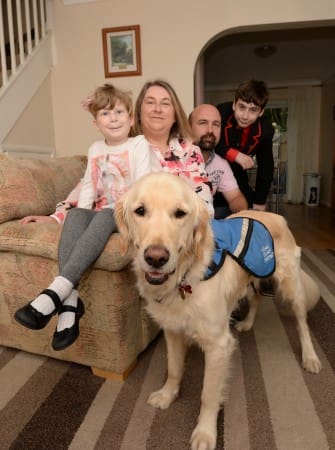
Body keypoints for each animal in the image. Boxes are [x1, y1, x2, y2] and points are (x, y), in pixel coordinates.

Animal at [114, 171, 322, 450]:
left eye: (180, 213)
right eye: (140, 210)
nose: (155, 257)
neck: (185, 278)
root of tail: (276, 215)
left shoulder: (218, 345)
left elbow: (208, 395)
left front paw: (205, 432)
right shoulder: (173, 331)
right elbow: (174, 369)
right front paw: (167, 395)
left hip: (291, 286)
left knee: (302, 323)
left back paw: (310, 357)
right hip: (251, 278)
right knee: (257, 298)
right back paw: (247, 323)